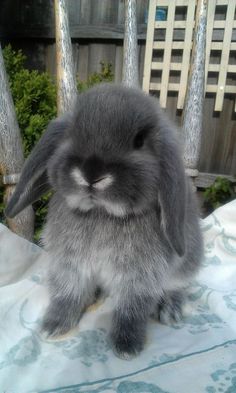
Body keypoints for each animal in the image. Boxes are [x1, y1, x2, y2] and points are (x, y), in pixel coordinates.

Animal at [6, 83, 204, 358]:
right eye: (72, 132)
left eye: (139, 141)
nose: (92, 173)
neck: (102, 212)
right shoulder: (70, 265)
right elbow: (67, 294)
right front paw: (54, 326)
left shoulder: (139, 275)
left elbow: (132, 308)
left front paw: (127, 345)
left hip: (186, 264)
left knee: (178, 286)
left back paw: (170, 310)